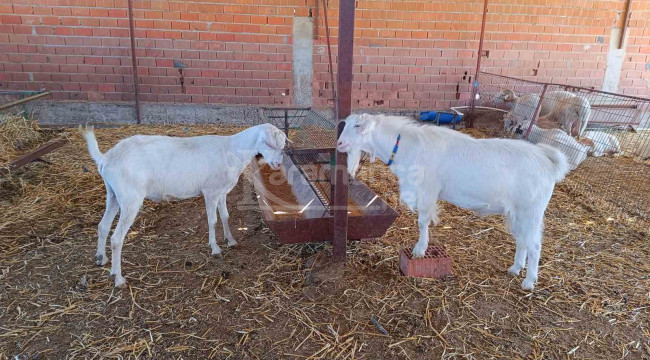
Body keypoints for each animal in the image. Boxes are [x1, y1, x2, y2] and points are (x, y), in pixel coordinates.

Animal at [79, 124, 286, 286]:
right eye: (269, 143)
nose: (278, 163)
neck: (232, 150)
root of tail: (106, 158)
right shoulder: (210, 192)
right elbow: (212, 221)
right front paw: (215, 249)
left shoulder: (221, 192)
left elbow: (226, 217)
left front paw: (231, 240)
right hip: (130, 198)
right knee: (116, 238)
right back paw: (118, 278)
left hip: (113, 194)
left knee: (103, 226)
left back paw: (101, 259)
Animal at [340, 114, 568, 292]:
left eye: (357, 126)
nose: (340, 144)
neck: (408, 147)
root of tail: (548, 162)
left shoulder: (427, 191)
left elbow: (422, 222)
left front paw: (420, 250)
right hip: (516, 212)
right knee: (522, 240)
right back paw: (515, 268)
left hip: (531, 210)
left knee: (535, 245)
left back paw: (529, 282)